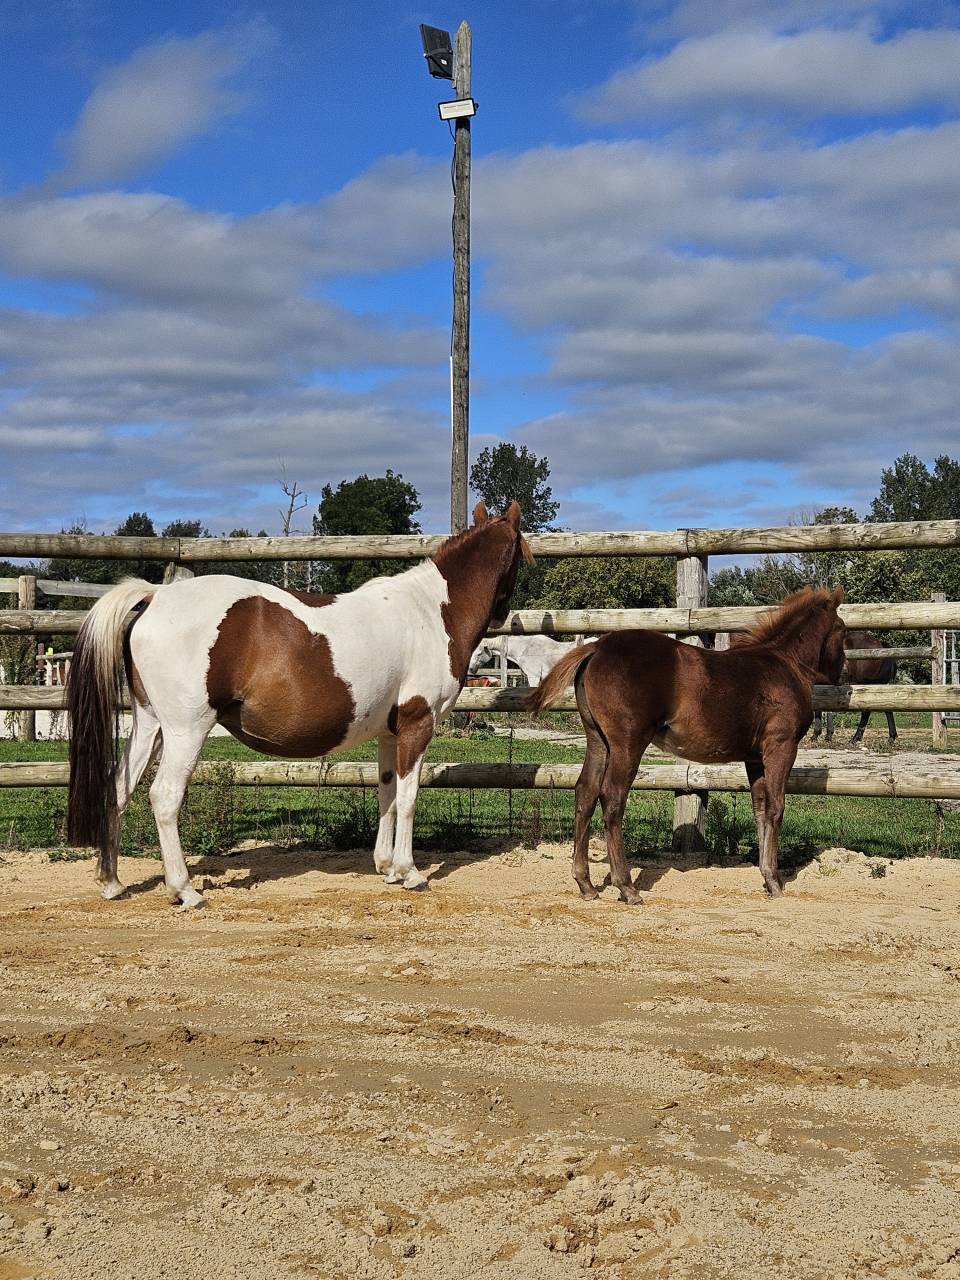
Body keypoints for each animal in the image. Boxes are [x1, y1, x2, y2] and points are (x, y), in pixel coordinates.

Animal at [67, 502, 531, 908]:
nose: (502, 615)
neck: (431, 613)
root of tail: (156, 598)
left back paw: (111, 882)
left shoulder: (389, 732)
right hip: (186, 730)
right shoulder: (418, 724)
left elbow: (387, 793)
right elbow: (409, 797)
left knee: (118, 788)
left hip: (149, 725)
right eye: (521, 557)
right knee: (164, 797)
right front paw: (410, 872)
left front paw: (386, 867)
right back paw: (185, 891)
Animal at [528, 587, 846, 904]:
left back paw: (586, 884)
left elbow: (760, 808)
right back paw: (627, 887)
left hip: (598, 741)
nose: (841, 672)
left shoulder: (755, 757)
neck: (785, 664)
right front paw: (776, 883)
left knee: (585, 793)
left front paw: (767, 878)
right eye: (842, 629)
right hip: (627, 743)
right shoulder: (782, 747)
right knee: (612, 797)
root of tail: (598, 647)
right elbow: (776, 807)